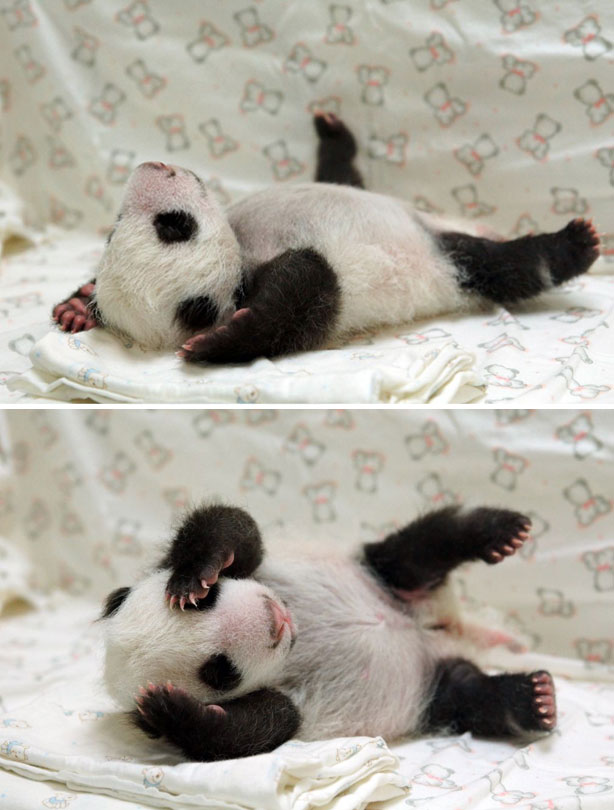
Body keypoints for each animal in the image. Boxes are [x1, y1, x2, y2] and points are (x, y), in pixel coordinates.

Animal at [53, 113, 601, 365]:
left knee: (344, 175)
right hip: (447, 260)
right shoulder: (314, 285)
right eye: (174, 225)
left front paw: (77, 307)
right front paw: (220, 342)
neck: (242, 252)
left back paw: (333, 131)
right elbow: (305, 295)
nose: (154, 166)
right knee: (507, 267)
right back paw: (575, 245)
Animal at [101, 502, 557, 762]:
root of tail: (444, 631)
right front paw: (168, 710)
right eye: (219, 671)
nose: (273, 620)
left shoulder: (257, 569)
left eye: (211, 600)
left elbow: (233, 529)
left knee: (420, 547)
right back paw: (533, 699)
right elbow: (250, 732)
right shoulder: (279, 702)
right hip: (430, 693)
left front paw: (194, 576)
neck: (297, 637)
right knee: (469, 695)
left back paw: (499, 532)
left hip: (378, 573)